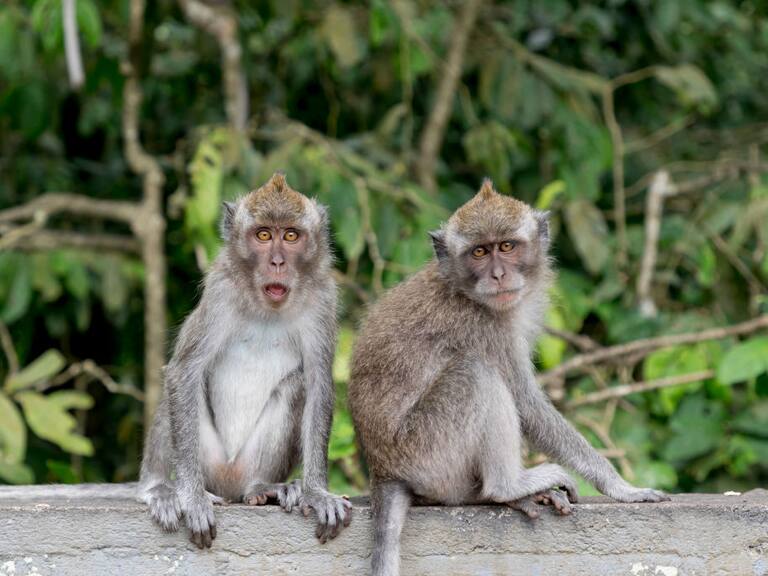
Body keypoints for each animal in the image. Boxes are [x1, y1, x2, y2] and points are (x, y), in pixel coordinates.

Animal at [138, 172, 351, 548]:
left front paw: (316, 492)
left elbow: (317, 383)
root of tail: (231, 484)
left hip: (248, 464)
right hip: (208, 462)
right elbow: (184, 371)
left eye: (291, 235)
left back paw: (263, 488)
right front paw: (191, 498)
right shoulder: (221, 292)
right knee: (175, 386)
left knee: (296, 386)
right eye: (263, 235)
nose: (277, 262)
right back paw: (160, 487)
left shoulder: (323, 299)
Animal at [348, 179, 669, 576]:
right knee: (476, 375)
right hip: (425, 451)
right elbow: (525, 402)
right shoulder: (483, 328)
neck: (463, 289)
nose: (498, 275)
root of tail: (383, 470)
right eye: (479, 252)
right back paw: (508, 487)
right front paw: (619, 486)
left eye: (506, 246)